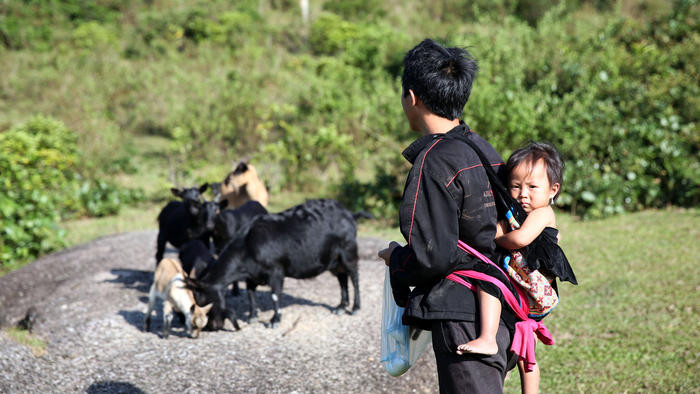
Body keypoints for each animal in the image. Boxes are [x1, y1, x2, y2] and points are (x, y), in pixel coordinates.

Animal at [186, 197, 360, 330]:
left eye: (205, 304)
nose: (211, 327)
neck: (248, 244)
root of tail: (348, 213)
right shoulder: (251, 275)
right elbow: (250, 294)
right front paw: (252, 316)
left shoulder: (276, 271)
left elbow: (275, 295)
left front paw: (274, 320)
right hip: (334, 260)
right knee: (342, 278)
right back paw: (340, 307)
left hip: (348, 251)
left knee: (354, 277)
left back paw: (355, 308)